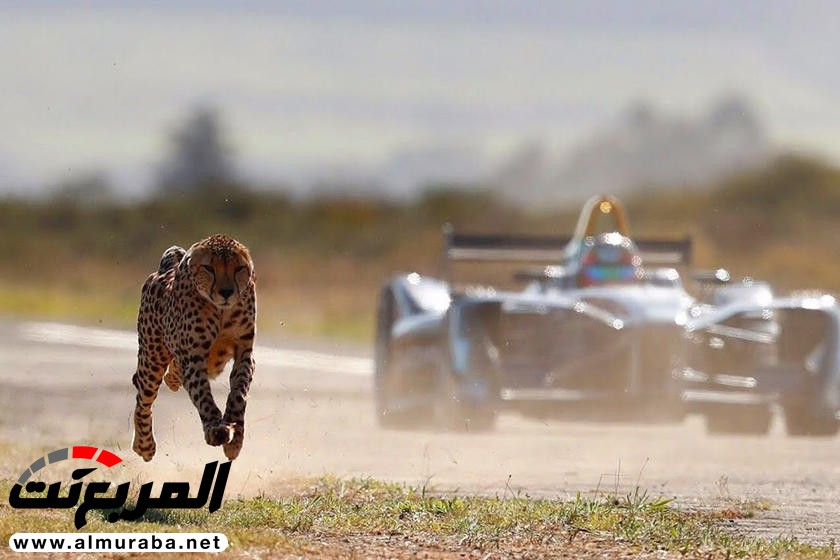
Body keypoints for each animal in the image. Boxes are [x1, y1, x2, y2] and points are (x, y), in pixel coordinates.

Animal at [130, 234, 256, 462]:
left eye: (239, 268)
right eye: (209, 268)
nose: (226, 292)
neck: (221, 311)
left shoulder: (245, 354)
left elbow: (239, 393)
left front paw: (235, 438)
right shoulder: (193, 358)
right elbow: (202, 395)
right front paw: (216, 428)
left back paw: (172, 380)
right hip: (152, 359)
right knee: (143, 398)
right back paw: (144, 445)